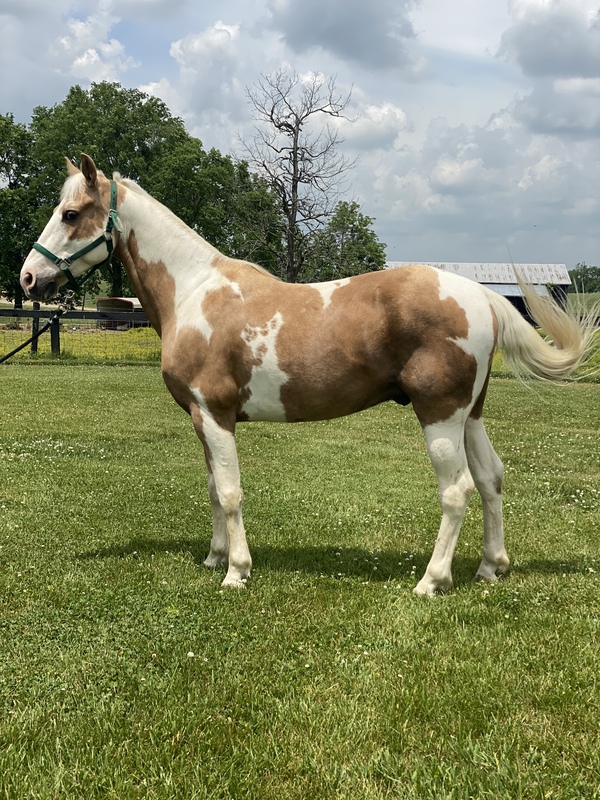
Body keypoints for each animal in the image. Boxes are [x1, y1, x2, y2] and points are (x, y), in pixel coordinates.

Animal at [20, 153, 598, 595]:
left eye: (70, 214)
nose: (28, 278)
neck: (194, 291)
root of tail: (479, 293)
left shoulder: (215, 413)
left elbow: (230, 492)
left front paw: (236, 572)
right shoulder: (201, 419)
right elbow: (212, 488)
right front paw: (214, 557)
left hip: (439, 416)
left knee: (456, 491)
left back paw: (432, 582)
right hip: (469, 415)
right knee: (491, 478)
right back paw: (489, 568)